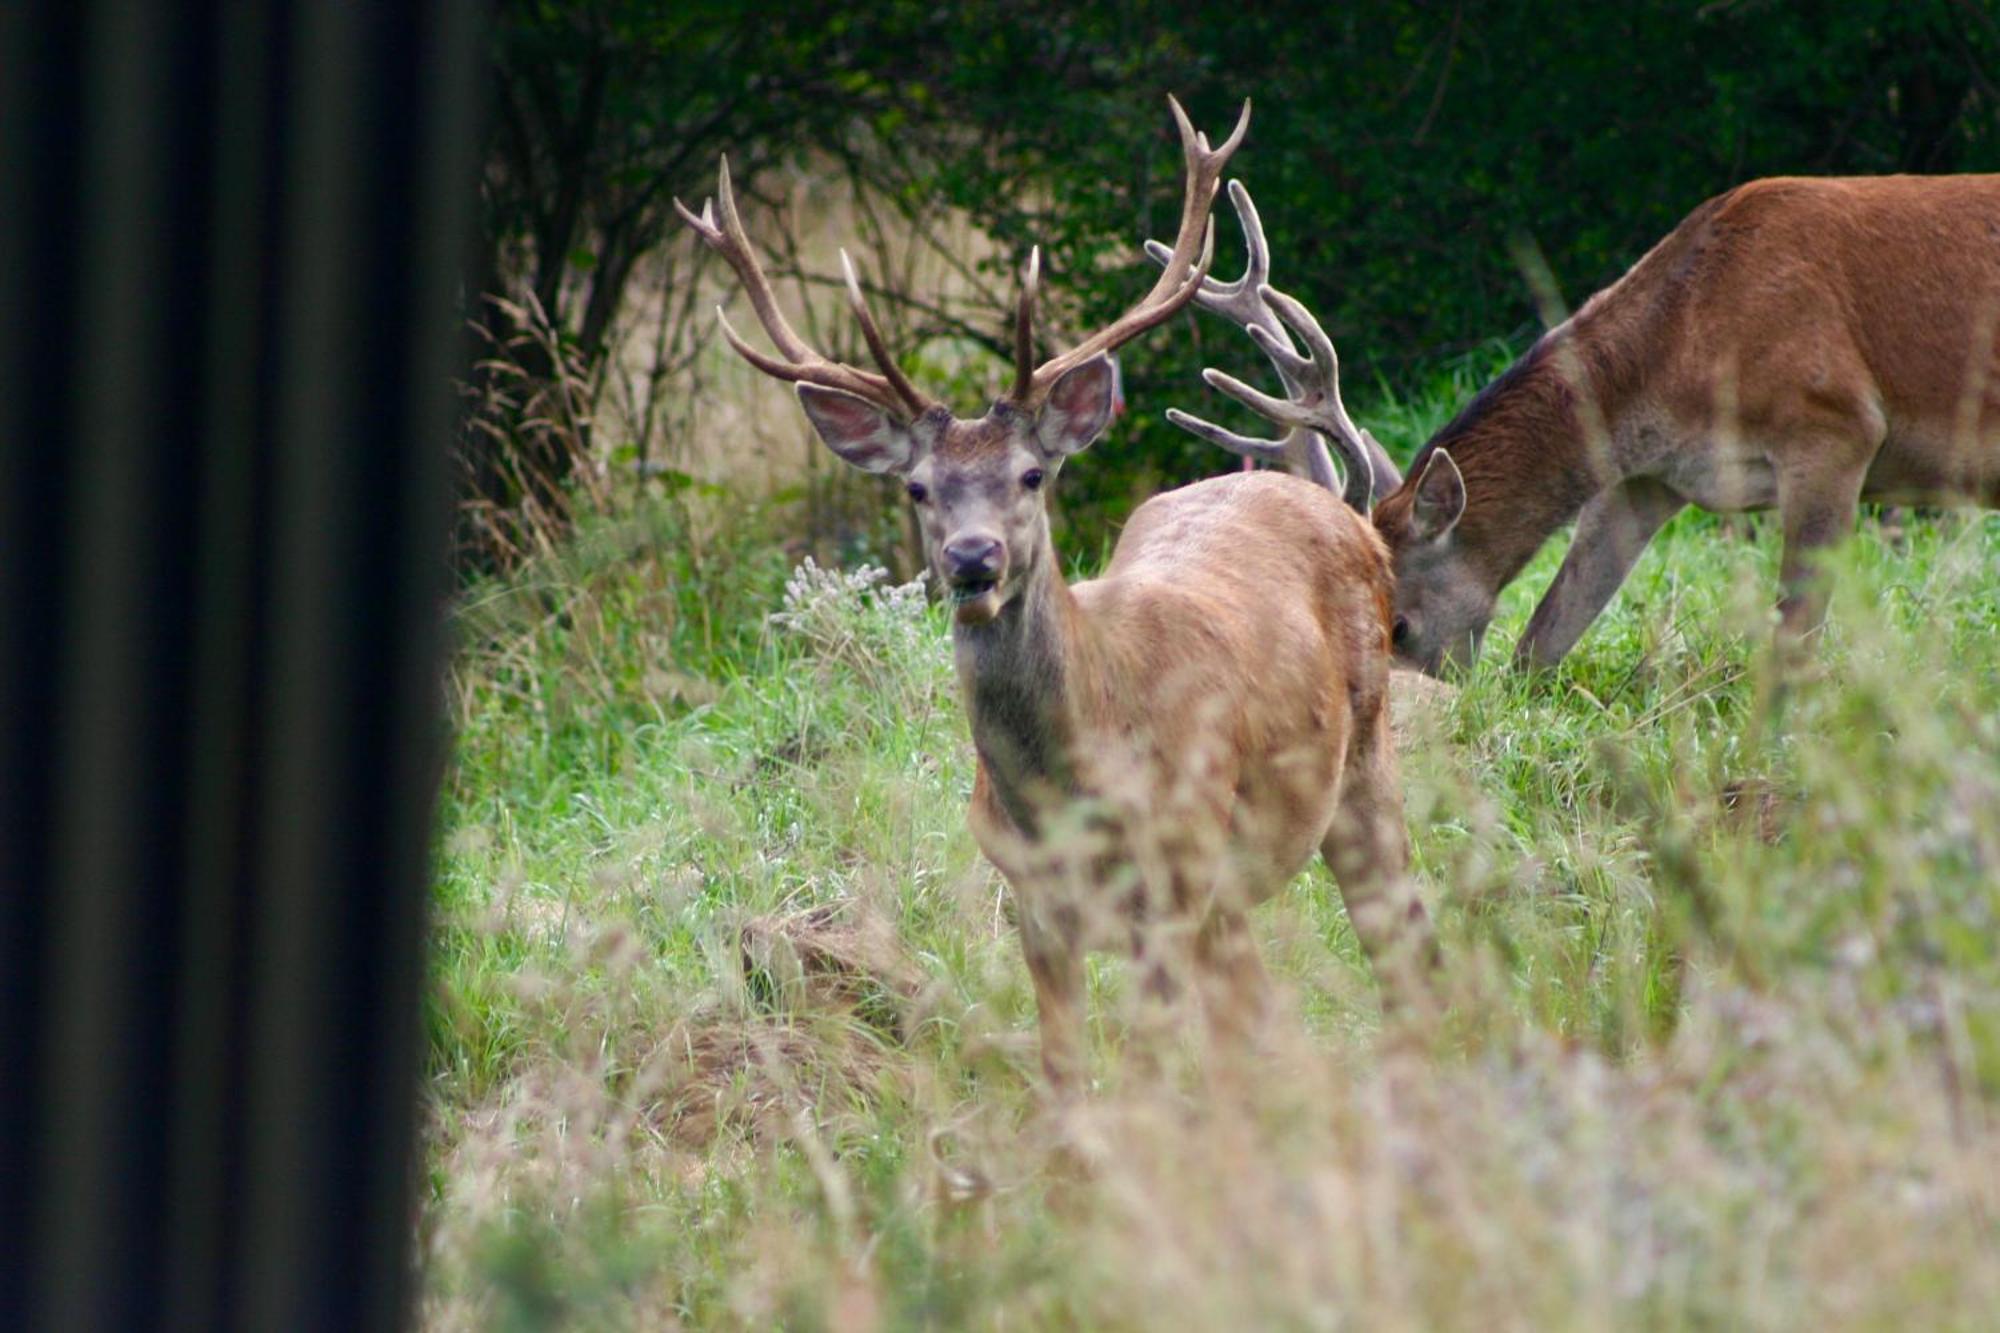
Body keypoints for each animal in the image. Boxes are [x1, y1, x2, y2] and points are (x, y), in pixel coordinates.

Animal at [676, 96, 1440, 1088]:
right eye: (917, 487)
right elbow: (1067, 1071)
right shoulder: (1035, 903)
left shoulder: (1176, 878)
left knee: (1401, 939)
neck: (1072, 785)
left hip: (1362, 760)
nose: (973, 559)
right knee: (1262, 1006)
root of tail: (1341, 510)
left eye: (1033, 474)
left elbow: (1153, 1064)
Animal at [1168, 175, 2000, 676]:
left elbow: (1795, 632)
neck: (1691, 342)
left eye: (1397, 625)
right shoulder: (1649, 478)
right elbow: (1544, 634)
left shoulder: (1835, 425)